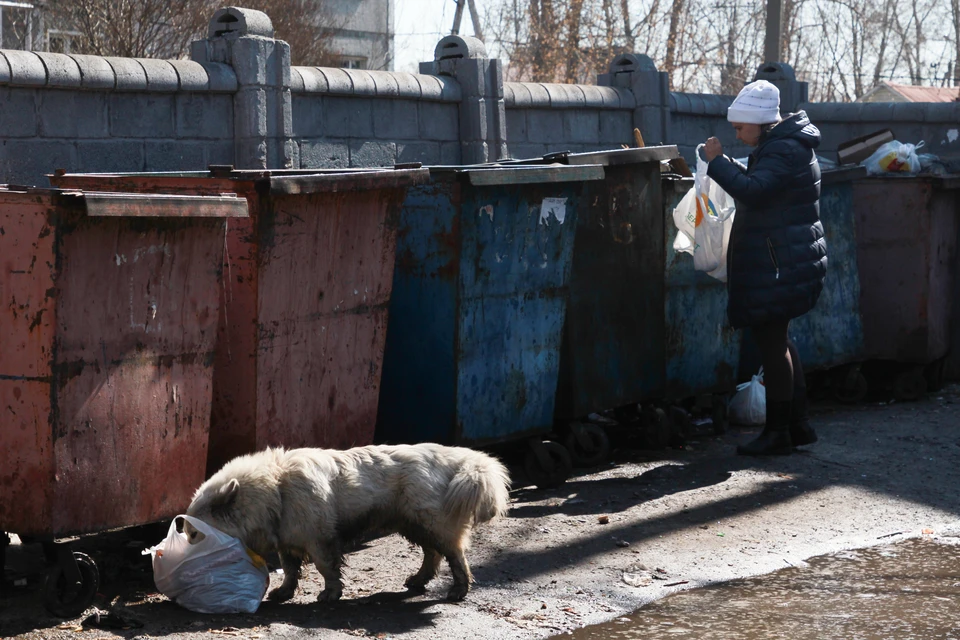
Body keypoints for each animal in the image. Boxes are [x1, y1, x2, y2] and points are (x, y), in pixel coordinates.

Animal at [186, 442, 510, 604]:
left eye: (194, 533)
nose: (185, 556)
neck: (276, 488)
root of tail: (460, 459)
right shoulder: (287, 542)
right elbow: (290, 571)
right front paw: (284, 592)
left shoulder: (319, 541)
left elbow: (325, 568)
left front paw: (330, 594)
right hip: (414, 525)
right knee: (433, 555)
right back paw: (419, 580)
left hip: (433, 525)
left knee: (455, 556)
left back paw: (459, 589)